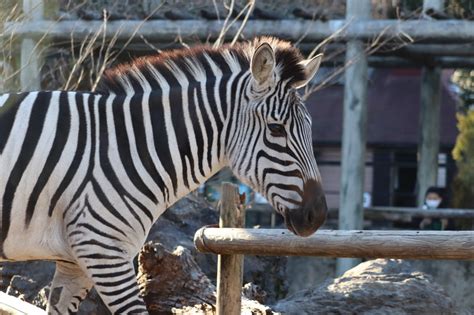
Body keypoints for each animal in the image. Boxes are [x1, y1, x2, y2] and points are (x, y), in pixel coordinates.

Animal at [0, 37, 326, 314]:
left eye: (311, 127)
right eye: (276, 129)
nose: (318, 216)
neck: (128, 146)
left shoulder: (74, 263)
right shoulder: (103, 251)